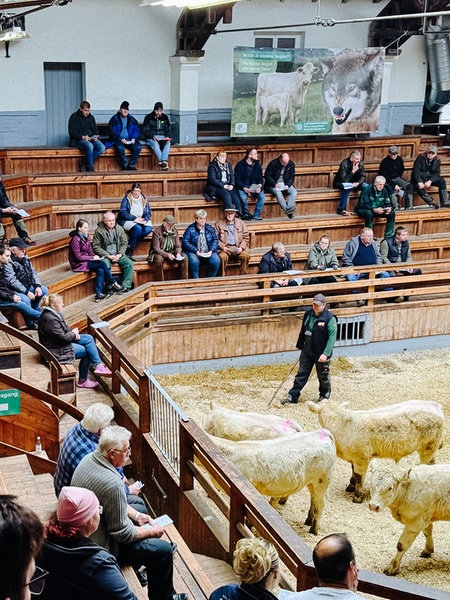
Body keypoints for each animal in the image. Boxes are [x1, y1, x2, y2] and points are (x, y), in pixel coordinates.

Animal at [308, 400, 444, 504]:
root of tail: (436, 405)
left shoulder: (362, 457)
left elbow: (359, 477)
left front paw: (358, 497)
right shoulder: (354, 457)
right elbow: (353, 472)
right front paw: (350, 486)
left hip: (428, 445)